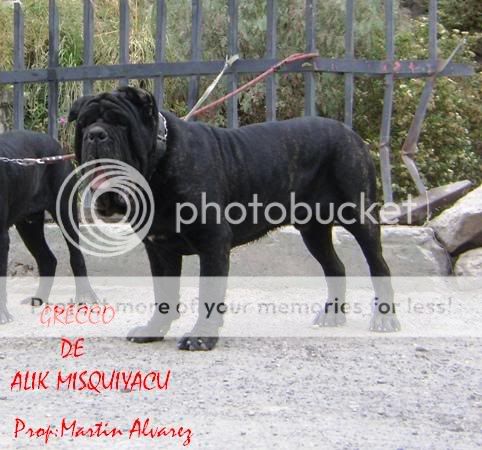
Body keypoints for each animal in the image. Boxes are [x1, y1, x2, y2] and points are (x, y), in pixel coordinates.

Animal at [0, 130, 97, 324]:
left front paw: (2, 315)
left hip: (64, 210)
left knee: (76, 257)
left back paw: (84, 296)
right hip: (28, 226)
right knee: (47, 259)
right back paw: (39, 299)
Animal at [68, 86, 400, 350]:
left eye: (120, 123)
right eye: (84, 124)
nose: (95, 135)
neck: (157, 163)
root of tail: (350, 132)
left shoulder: (213, 241)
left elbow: (209, 293)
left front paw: (202, 337)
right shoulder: (159, 248)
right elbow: (164, 293)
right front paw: (154, 330)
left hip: (360, 216)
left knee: (379, 266)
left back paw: (385, 319)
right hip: (313, 231)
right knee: (335, 267)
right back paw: (332, 315)